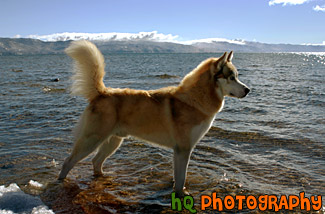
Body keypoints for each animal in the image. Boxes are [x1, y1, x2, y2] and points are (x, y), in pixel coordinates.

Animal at [58, 40, 249, 196]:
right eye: (232, 77)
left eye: (237, 76)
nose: (248, 90)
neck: (195, 99)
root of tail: (102, 92)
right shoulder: (183, 149)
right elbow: (181, 179)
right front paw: (182, 195)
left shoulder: (180, 151)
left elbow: (178, 177)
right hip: (92, 140)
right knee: (68, 162)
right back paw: (60, 182)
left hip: (113, 141)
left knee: (96, 161)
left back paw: (103, 177)